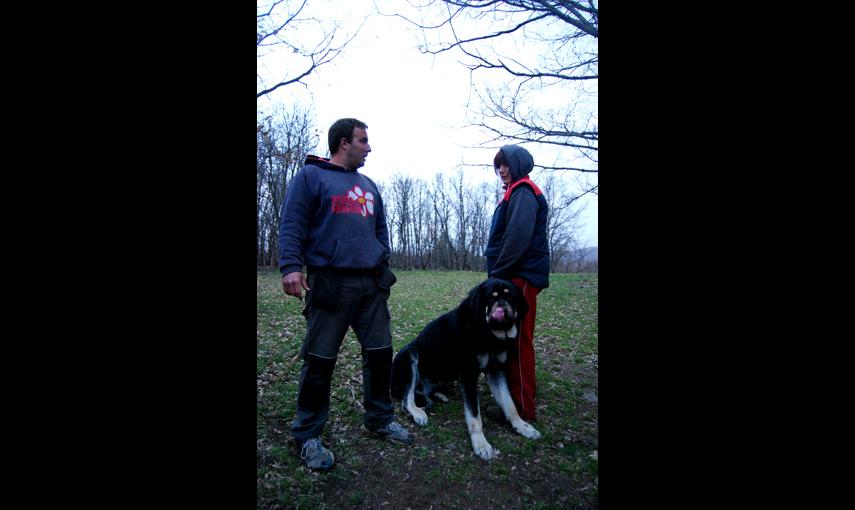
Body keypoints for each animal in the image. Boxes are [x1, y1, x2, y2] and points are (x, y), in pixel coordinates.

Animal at [390, 276, 540, 460]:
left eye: (510, 296)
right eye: (492, 297)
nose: (503, 309)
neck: (486, 332)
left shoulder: (496, 370)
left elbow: (510, 404)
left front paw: (522, 426)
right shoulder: (469, 373)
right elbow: (475, 415)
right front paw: (481, 444)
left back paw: (439, 395)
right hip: (409, 353)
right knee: (407, 399)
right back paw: (418, 412)